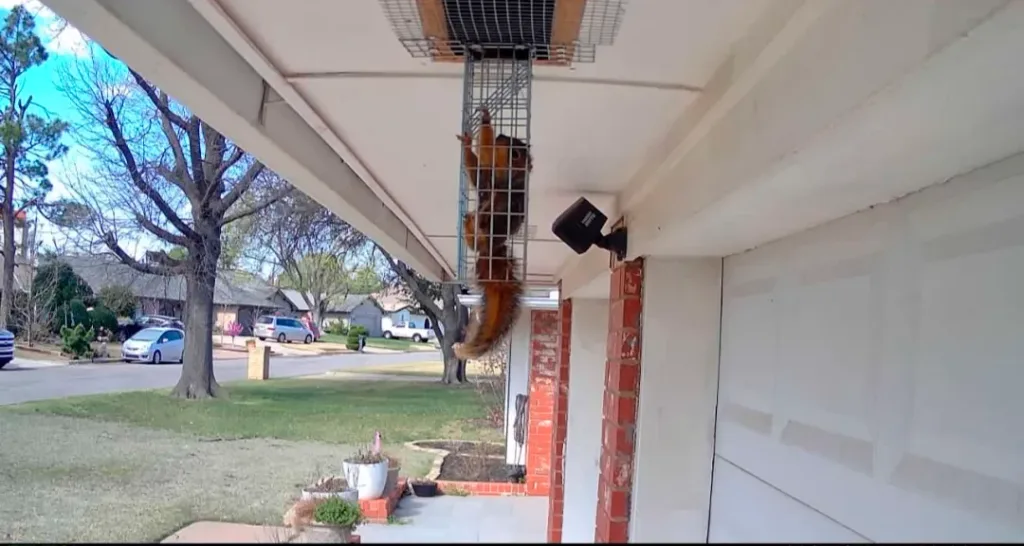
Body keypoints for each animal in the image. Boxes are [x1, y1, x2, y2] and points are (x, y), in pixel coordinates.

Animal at [453, 107, 530, 360]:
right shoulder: (486, 178)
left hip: (491, 231)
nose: (502, 136)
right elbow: (477, 170)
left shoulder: (503, 189)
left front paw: (486, 122)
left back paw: (477, 226)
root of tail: (491, 251)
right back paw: (469, 224)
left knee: (485, 229)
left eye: (516, 154)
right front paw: (475, 135)